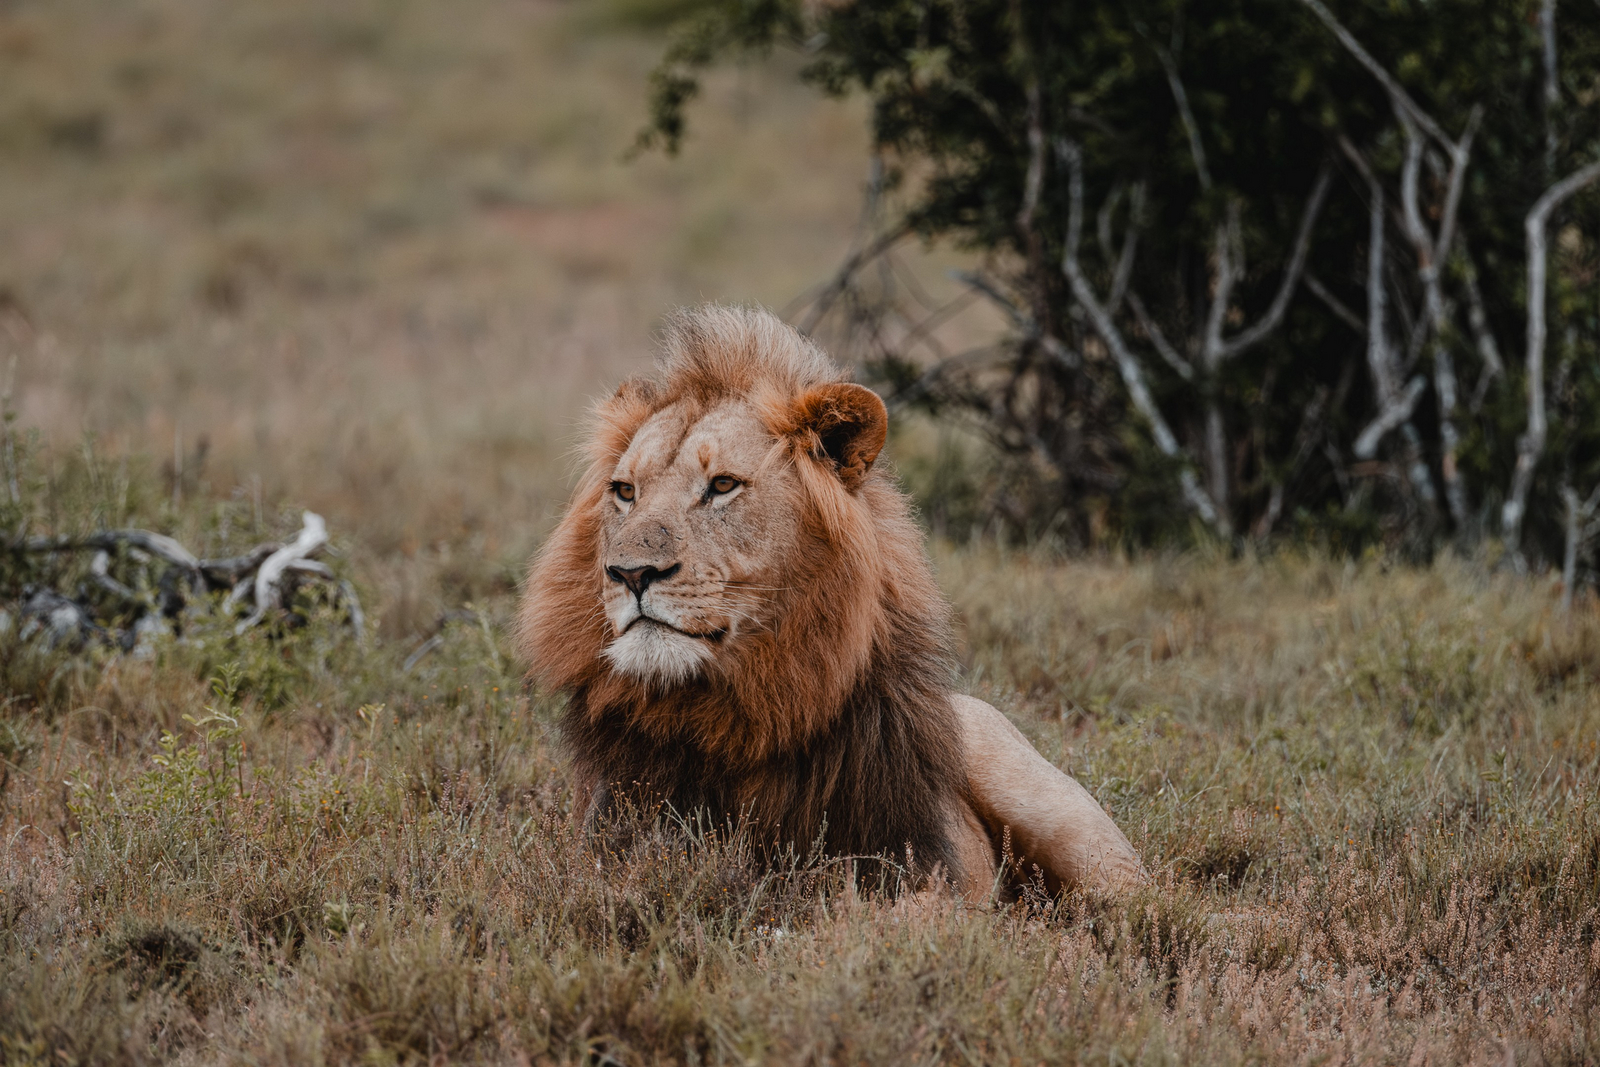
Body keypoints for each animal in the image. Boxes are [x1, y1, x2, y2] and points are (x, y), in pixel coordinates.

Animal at [517, 304, 1143, 899]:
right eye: (625, 491)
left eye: (722, 485)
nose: (630, 573)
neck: (728, 717)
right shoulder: (608, 852)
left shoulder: (915, 865)